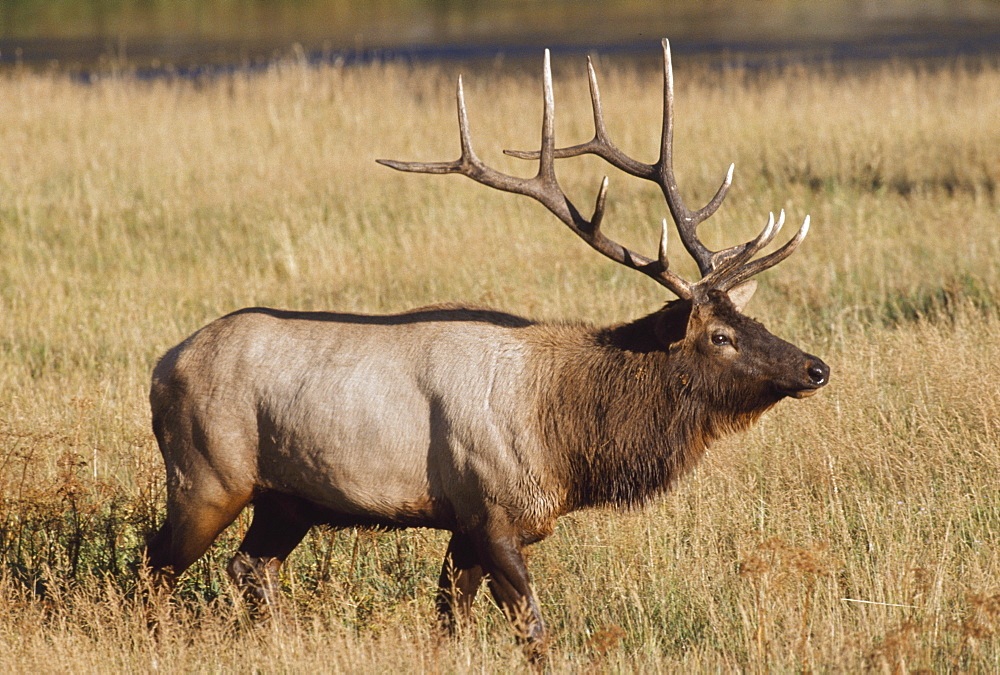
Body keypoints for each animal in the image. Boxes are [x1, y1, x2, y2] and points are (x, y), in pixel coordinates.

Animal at [143, 41, 828, 656]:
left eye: (751, 317)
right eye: (720, 337)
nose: (816, 368)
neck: (568, 439)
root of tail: (161, 366)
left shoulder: (471, 524)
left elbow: (450, 617)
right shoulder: (491, 509)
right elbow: (532, 630)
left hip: (289, 500)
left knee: (249, 567)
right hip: (206, 475)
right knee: (157, 562)